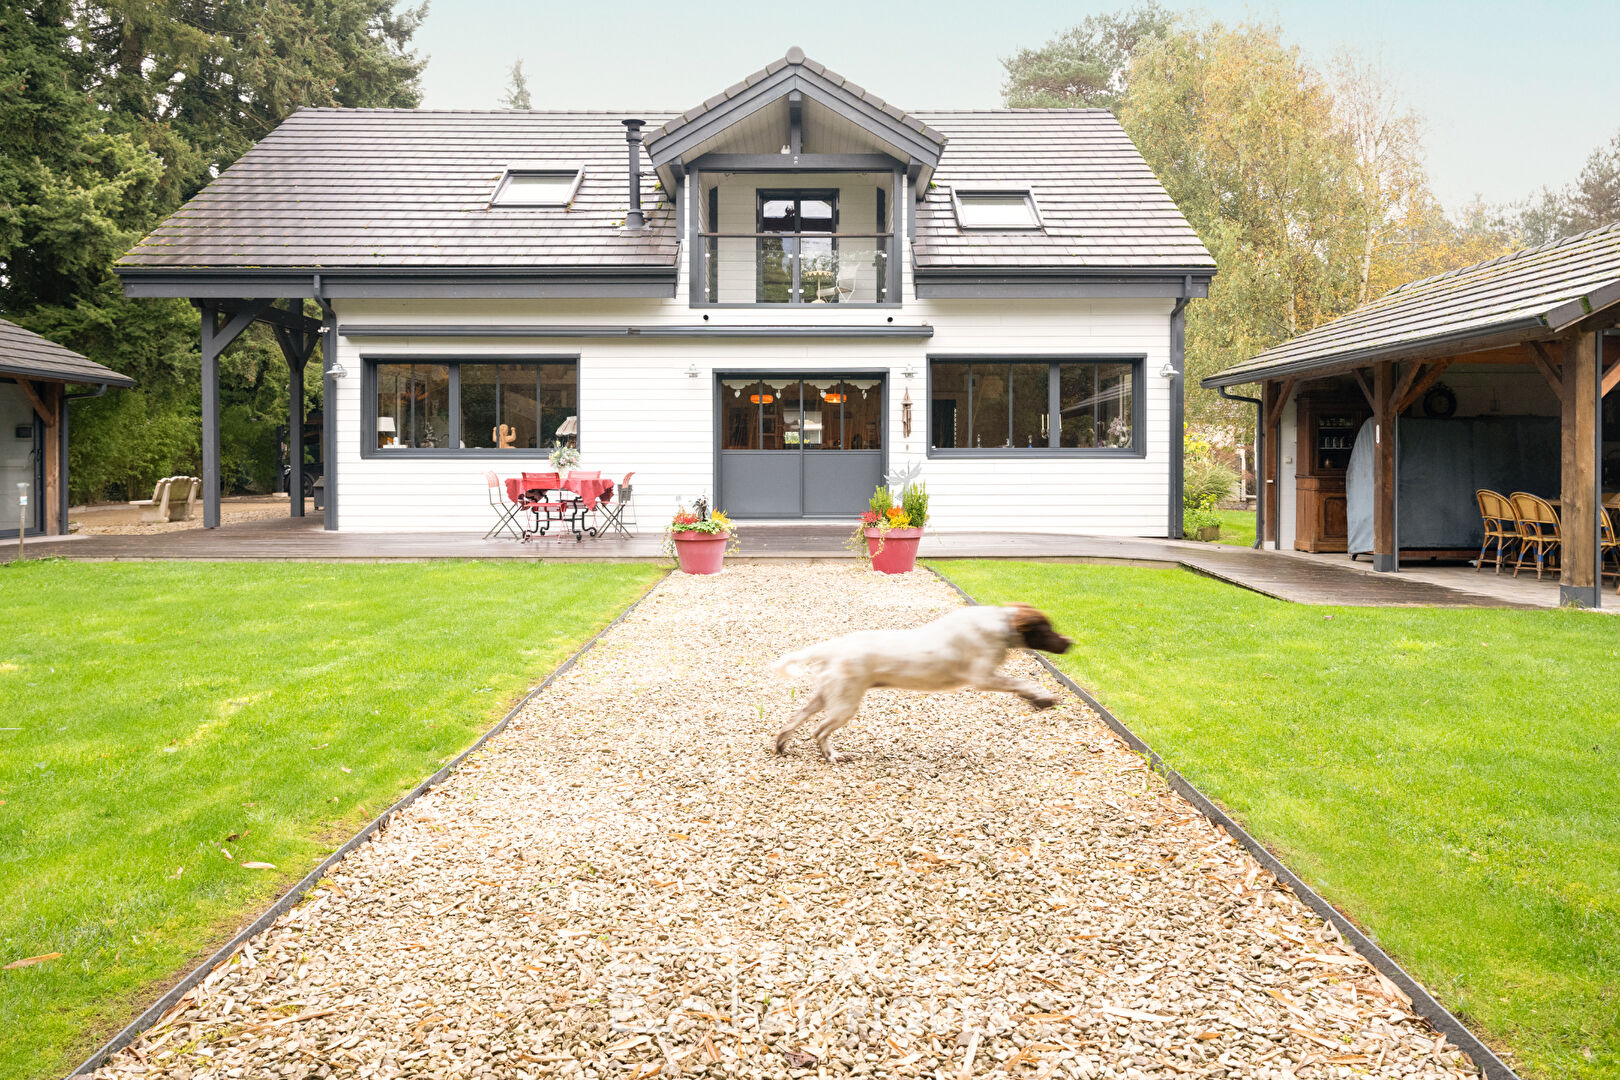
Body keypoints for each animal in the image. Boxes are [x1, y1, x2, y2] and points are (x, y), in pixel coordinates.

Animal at [767, 605, 1069, 764]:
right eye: (1047, 628)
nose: (1070, 642)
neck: (1000, 624)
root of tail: (833, 647)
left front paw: (1038, 698)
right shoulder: (983, 678)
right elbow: (1021, 682)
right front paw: (1042, 697)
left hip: (827, 697)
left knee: (794, 719)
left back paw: (781, 745)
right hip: (845, 704)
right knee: (819, 731)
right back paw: (832, 756)